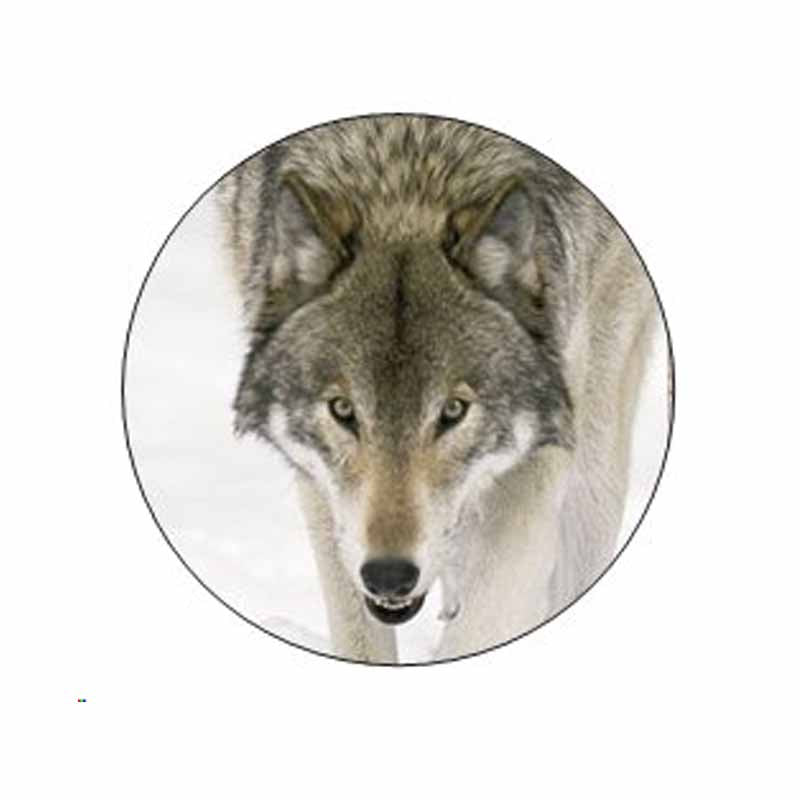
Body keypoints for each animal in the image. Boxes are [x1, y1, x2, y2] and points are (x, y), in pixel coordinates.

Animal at [216, 115, 662, 663]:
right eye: (342, 410)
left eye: (453, 410)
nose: (389, 575)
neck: (407, 174)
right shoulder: (324, 491)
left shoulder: (541, 457)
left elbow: (481, 621)